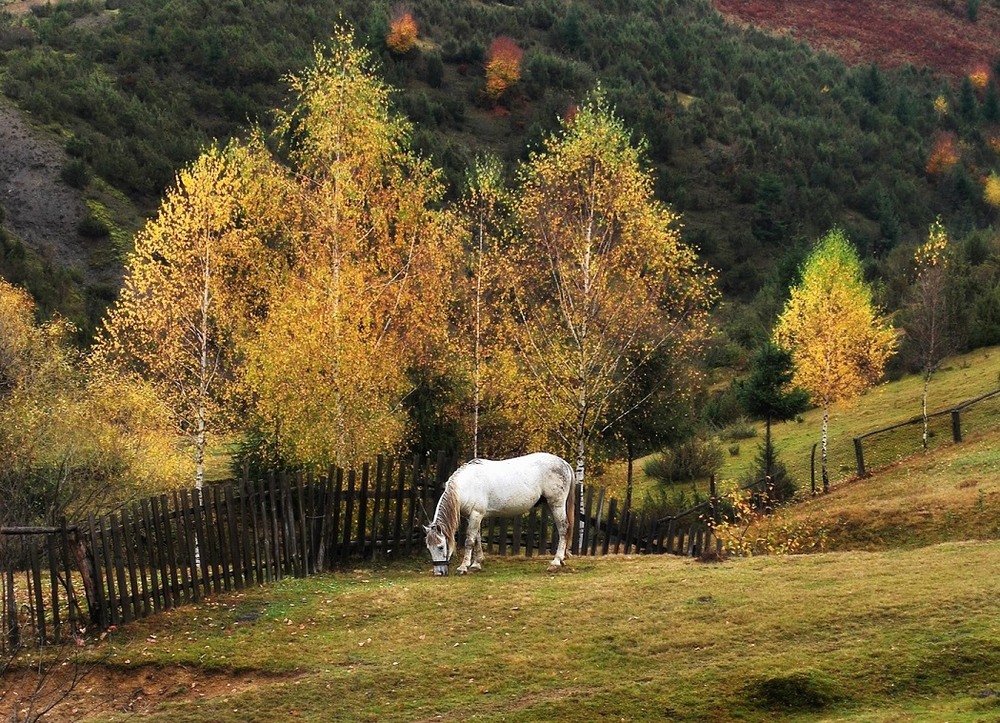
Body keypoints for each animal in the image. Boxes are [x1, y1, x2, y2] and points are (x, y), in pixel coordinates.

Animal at [424, 452, 580, 576]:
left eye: (441, 546)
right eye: (428, 548)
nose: (439, 573)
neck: (467, 486)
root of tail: (564, 463)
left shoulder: (476, 514)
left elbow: (469, 541)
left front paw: (463, 567)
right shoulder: (474, 517)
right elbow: (477, 538)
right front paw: (476, 564)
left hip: (556, 504)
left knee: (563, 529)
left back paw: (556, 562)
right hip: (550, 504)